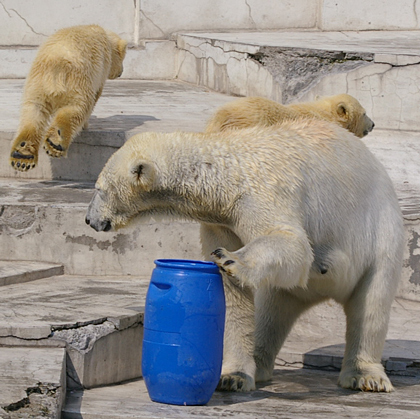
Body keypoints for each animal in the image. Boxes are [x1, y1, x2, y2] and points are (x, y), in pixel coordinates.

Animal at [9, 24, 128, 172]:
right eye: (123, 58)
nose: (121, 72)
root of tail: (56, 69)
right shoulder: (100, 69)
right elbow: (95, 97)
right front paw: (86, 125)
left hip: (36, 85)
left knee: (33, 113)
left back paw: (22, 155)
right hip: (77, 83)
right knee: (76, 109)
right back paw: (56, 142)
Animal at [85, 120, 404, 394]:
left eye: (98, 189)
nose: (89, 220)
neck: (225, 175)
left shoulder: (262, 193)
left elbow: (293, 244)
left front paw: (230, 260)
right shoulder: (222, 222)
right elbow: (235, 298)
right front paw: (233, 376)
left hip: (380, 233)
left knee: (371, 305)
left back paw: (366, 377)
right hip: (294, 287)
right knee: (273, 310)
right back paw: (259, 365)